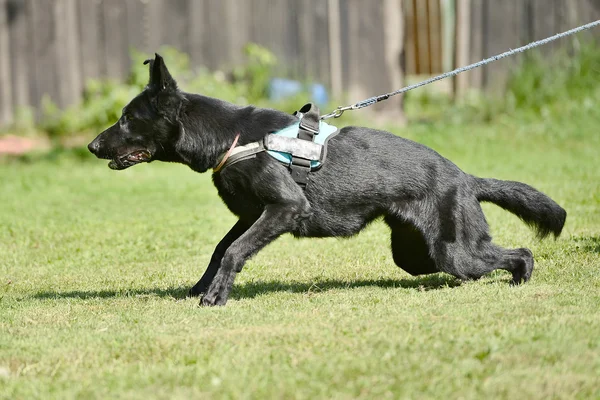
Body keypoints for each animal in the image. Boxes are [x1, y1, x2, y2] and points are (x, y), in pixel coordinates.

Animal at [89, 54, 568, 306]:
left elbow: (235, 251)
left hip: (453, 251)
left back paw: (519, 280)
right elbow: (220, 249)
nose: (92, 146)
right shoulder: (251, 215)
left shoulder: (284, 208)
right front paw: (202, 287)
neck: (233, 137)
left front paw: (217, 296)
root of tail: (465, 177)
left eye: (127, 118)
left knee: (519, 254)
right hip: (417, 254)